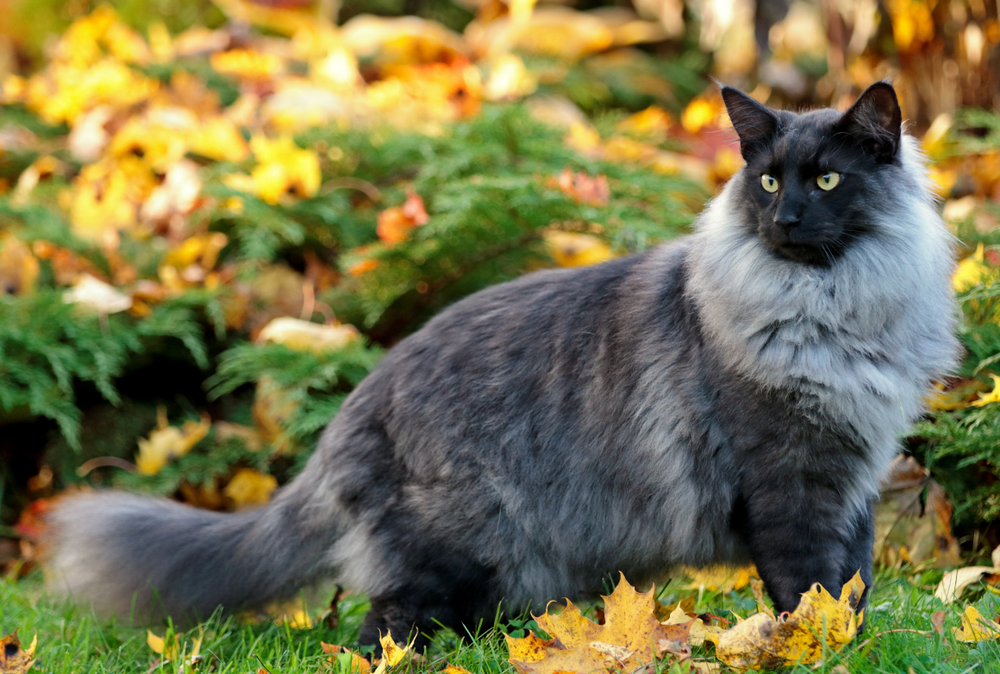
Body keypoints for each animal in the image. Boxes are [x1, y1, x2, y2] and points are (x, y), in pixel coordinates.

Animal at [43, 81, 956, 648]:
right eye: (767, 182)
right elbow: (807, 591)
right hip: (456, 554)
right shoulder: (789, 483)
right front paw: (813, 646)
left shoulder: (855, 480)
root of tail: (351, 414)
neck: (829, 315)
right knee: (381, 632)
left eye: (826, 180)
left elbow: (853, 587)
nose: (786, 219)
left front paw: (854, 641)